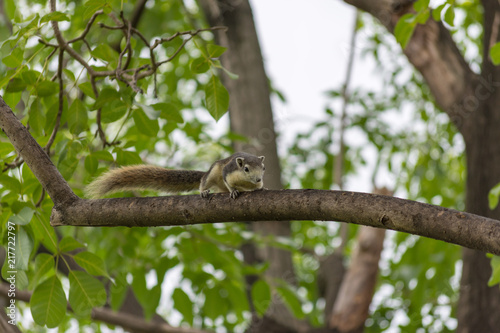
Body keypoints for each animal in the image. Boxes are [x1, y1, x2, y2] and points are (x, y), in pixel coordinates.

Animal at [86, 152, 266, 198]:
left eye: (263, 168)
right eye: (246, 169)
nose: (258, 178)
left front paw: (261, 188)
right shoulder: (227, 171)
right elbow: (228, 182)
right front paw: (234, 191)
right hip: (212, 173)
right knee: (203, 181)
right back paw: (204, 191)